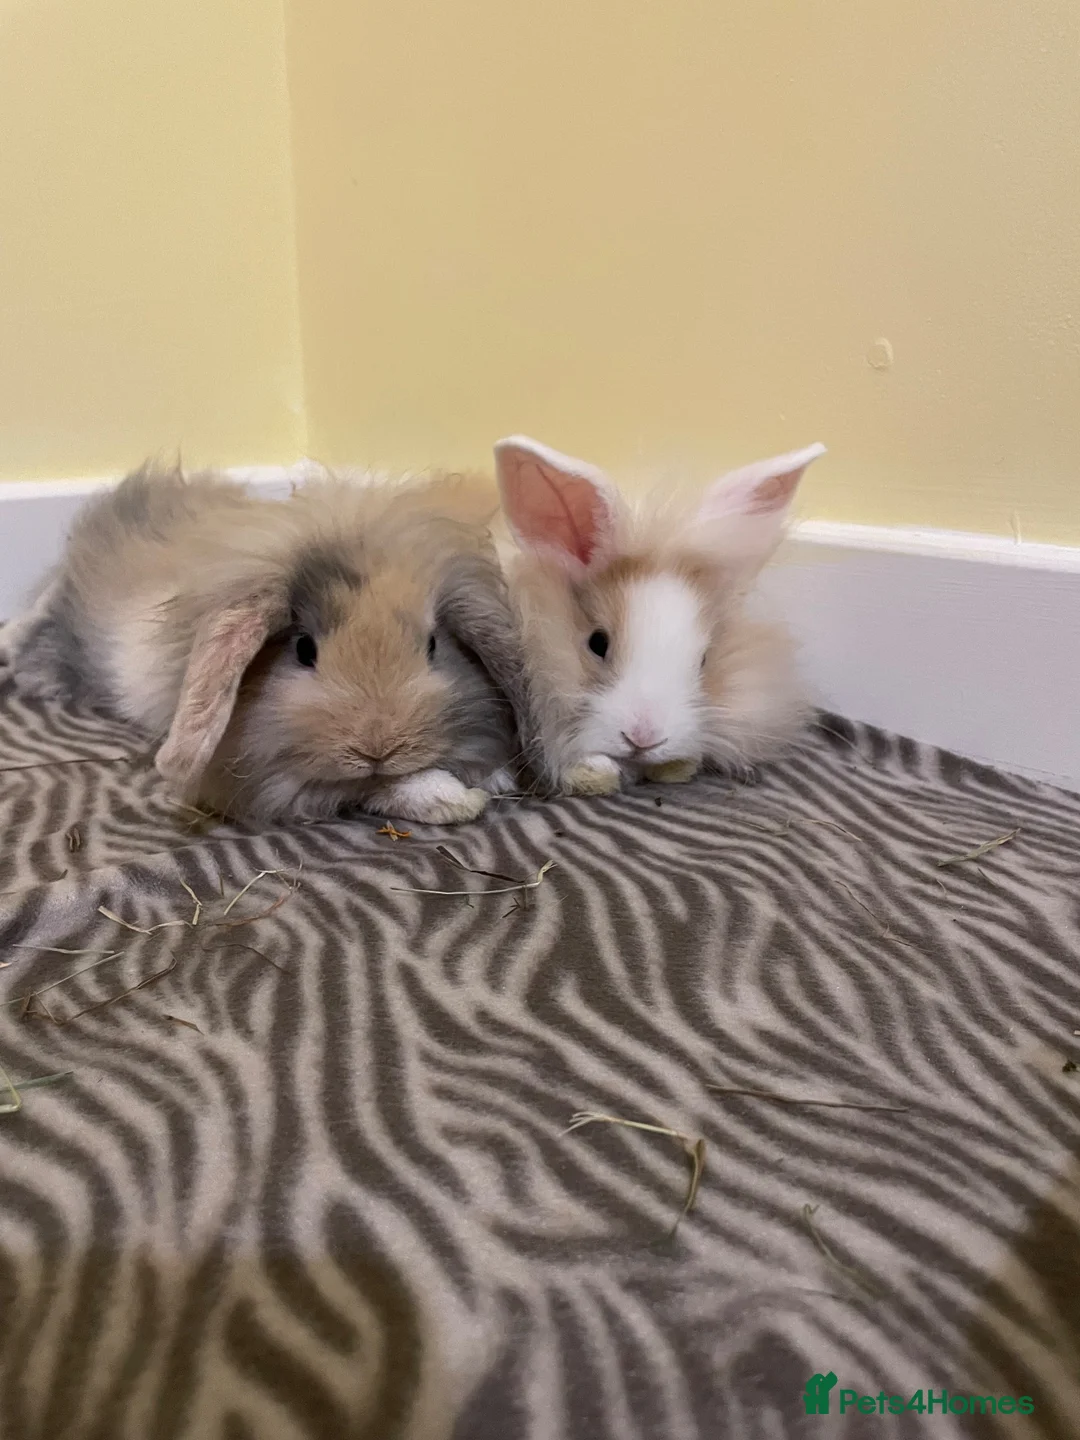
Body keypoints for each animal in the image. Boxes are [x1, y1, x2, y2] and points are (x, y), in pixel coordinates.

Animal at [3, 463, 524, 826]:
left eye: (433, 645)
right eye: (304, 650)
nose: (376, 748)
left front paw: (491, 776)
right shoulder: (279, 780)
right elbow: (381, 788)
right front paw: (461, 799)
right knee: (42, 608)